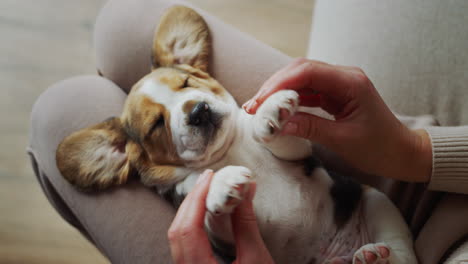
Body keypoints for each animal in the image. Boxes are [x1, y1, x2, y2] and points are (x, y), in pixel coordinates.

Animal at [55, 6, 420, 264]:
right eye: (156, 124)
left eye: (186, 83)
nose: (198, 111)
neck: (227, 150)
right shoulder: (222, 237)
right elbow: (211, 207)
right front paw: (222, 183)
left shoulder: (301, 155)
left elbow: (278, 137)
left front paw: (269, 112)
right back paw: (368, 258)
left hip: (377, 202)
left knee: (402, 253)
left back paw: (377, 256)